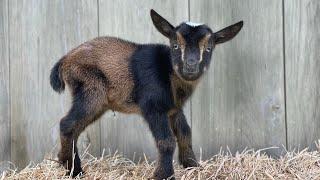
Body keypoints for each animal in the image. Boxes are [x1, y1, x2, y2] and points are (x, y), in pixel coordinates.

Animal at [50, 9, 242, 179]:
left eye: (209, 48)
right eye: (175, 45)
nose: (190, 66)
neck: (168, 72)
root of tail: (65, 60)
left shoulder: (173, 109)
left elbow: (185, 133)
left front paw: (193, 166)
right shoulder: (152, 107)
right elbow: (166, 141)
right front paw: (163, 175)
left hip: (98, 102)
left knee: (75, 128)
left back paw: (65, 162)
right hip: (91, 91)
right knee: (67, 124)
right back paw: (75, 171)